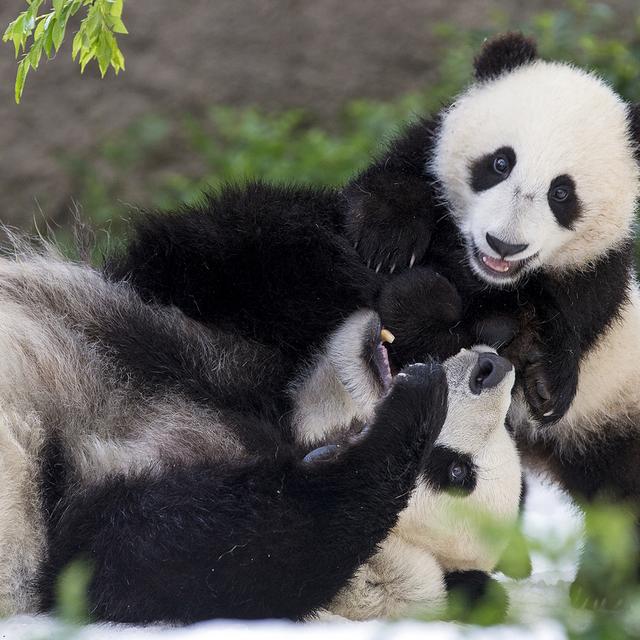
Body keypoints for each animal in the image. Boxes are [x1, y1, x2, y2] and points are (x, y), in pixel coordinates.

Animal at [342, 33, 640, 504]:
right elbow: (396, 182)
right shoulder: (421, 154)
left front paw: (544, 374)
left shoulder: (597, 275)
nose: (504, 244)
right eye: (500, 163)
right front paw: (388, 241)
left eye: (562, 193)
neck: (485, 277)